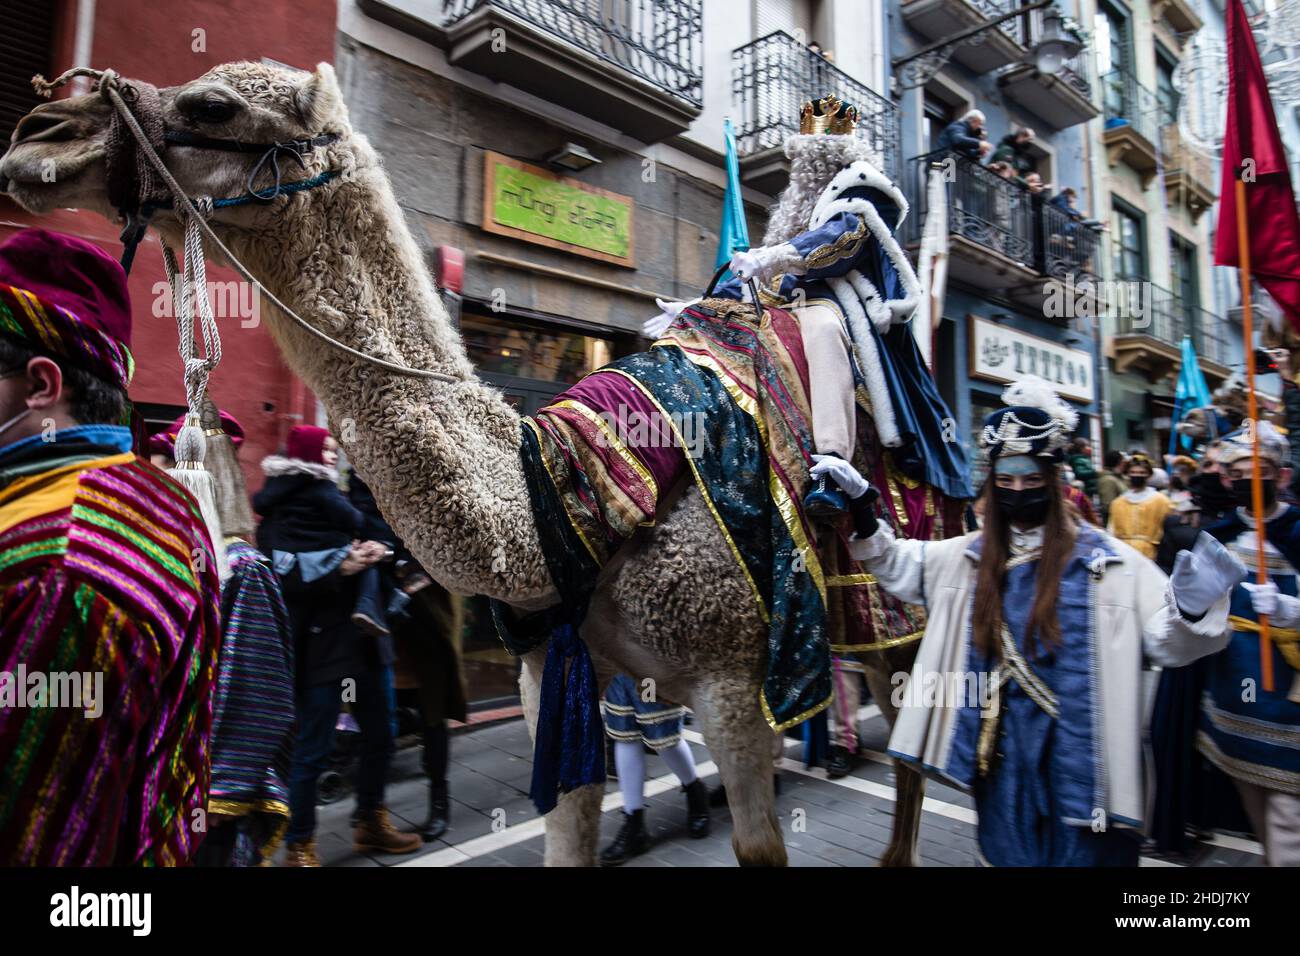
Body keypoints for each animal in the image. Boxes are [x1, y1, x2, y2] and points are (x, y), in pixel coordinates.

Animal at [5, 59, 930, 868]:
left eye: (214, 105)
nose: (38, 134)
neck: (558, 486)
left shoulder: (738, 682)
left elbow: (760, 843)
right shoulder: (554, 675)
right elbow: (570, 830)